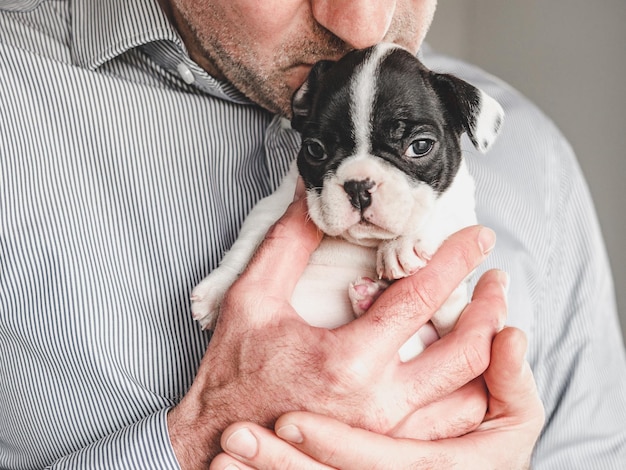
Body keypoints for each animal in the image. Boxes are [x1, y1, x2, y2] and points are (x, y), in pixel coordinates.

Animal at [190, 43, 502, 360]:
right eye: (315, 149)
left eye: (420, 146)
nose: (358, 186)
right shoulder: (273, 204)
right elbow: (248, 241)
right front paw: (218, 291)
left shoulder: (461, 210)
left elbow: (444, 213)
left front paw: (402, 244)